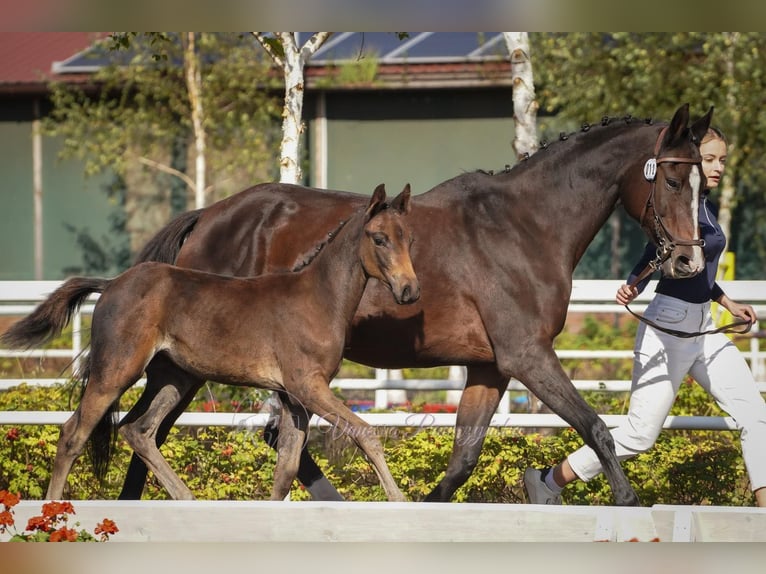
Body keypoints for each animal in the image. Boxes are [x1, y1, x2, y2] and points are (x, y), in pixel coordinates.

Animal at [1, 185, 418, 501]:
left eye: (408, 239)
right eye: (379, 238)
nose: (410, 290)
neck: (317, 298)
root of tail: (112, 284)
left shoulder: (295, 397)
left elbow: (287, 467)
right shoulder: (307, 387)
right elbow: (365, 433)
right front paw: (399, 501)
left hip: (176, 377)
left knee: (139, 430)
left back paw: (186, 499)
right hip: (116, 370)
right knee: (73, 434)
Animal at [115, 103, 711, 506]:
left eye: (705, 183)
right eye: (674, 178)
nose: (688, 262)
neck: (525, 226)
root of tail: (209, 215)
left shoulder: (490, 367)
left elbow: (462, 460)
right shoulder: (527, 355)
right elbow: (597, 429)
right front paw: (628, 506)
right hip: (194, 364)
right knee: (147, 429)